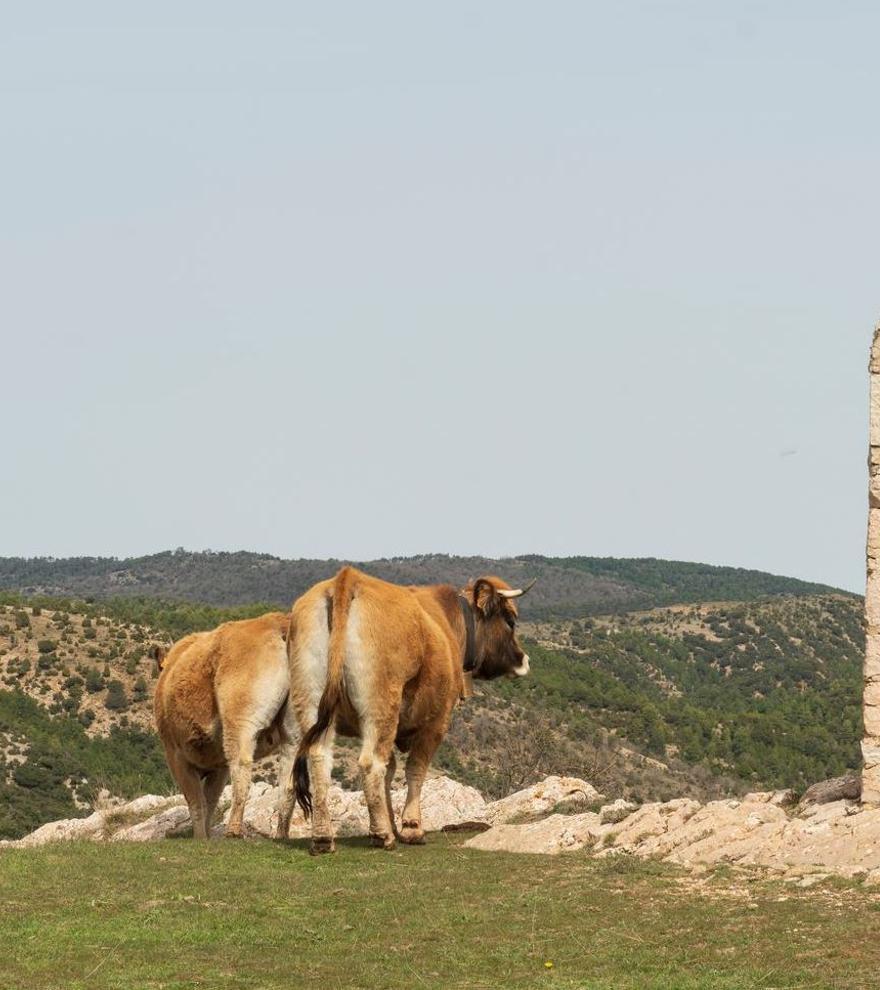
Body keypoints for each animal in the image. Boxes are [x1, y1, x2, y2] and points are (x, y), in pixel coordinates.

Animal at [153, 616, 298, 840]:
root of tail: (276, 624)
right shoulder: (218, 767)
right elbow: (210, 801)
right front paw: (206, 837)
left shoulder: (176, 755)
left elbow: (196, 801)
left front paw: (200, 838)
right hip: (294, 728)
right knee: (288, 779)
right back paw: (281, 834)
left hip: (240, 721)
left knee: (241, 766)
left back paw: (233, 830)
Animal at [286, 564, 532, 852]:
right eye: (510, 621)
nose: (524, 659)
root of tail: (348, 578)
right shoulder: (437, 721)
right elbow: (415, 768)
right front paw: (411, 827)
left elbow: (391, 771)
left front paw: (392, 822)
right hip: (382, 705)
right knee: (371, 763)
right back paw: (382, 835)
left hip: (312, 701)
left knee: (319, 757)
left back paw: (324, 837)